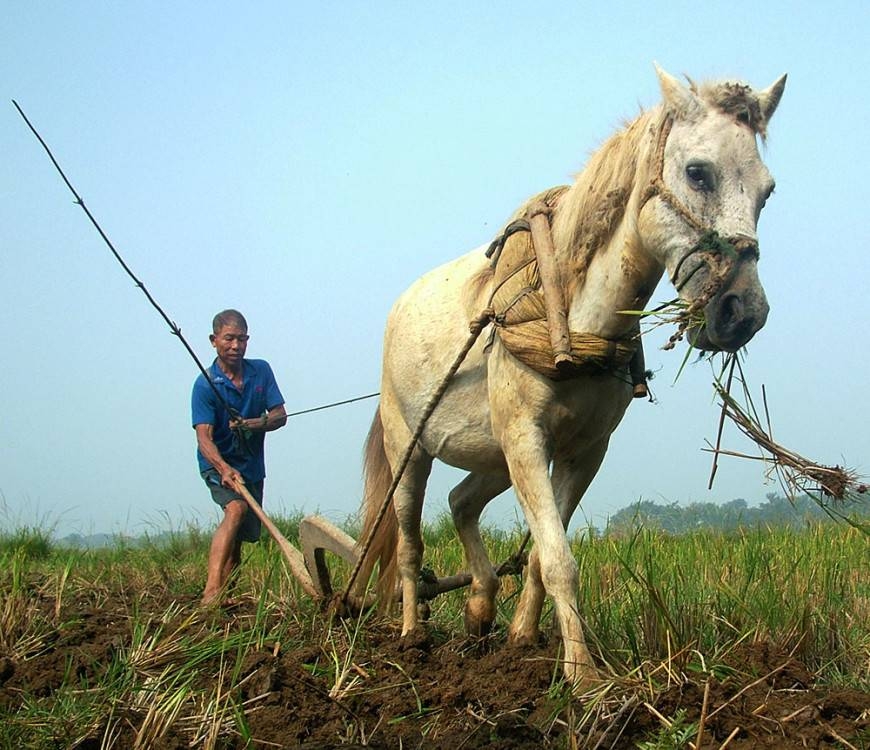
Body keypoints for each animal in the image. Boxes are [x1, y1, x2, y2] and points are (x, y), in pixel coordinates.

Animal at [351, 65, 787, 687]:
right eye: (698, 172)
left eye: (767, 189)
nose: (743, 312)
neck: (570, 310)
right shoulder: (527, 439)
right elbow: (559, 558)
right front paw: (583, 678)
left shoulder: (585, 449)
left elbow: (540, 552)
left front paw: (523, 641)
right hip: (409, 449)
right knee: (409, 541)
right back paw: (413, 635)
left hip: (492, 456)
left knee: (461, 502)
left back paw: (480, 608)